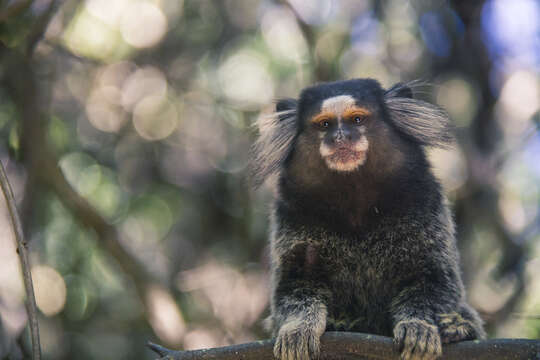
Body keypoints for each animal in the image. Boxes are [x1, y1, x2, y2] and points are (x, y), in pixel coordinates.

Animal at [253, 79, 486, 360]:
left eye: (357, 119)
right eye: (325, 124)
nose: (340, 137)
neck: (355, 201)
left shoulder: (426, 200)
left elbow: (434, 280)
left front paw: (419, 326)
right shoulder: (290, 214)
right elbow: (294, 287)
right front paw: (298, 329)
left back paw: (457, 328)